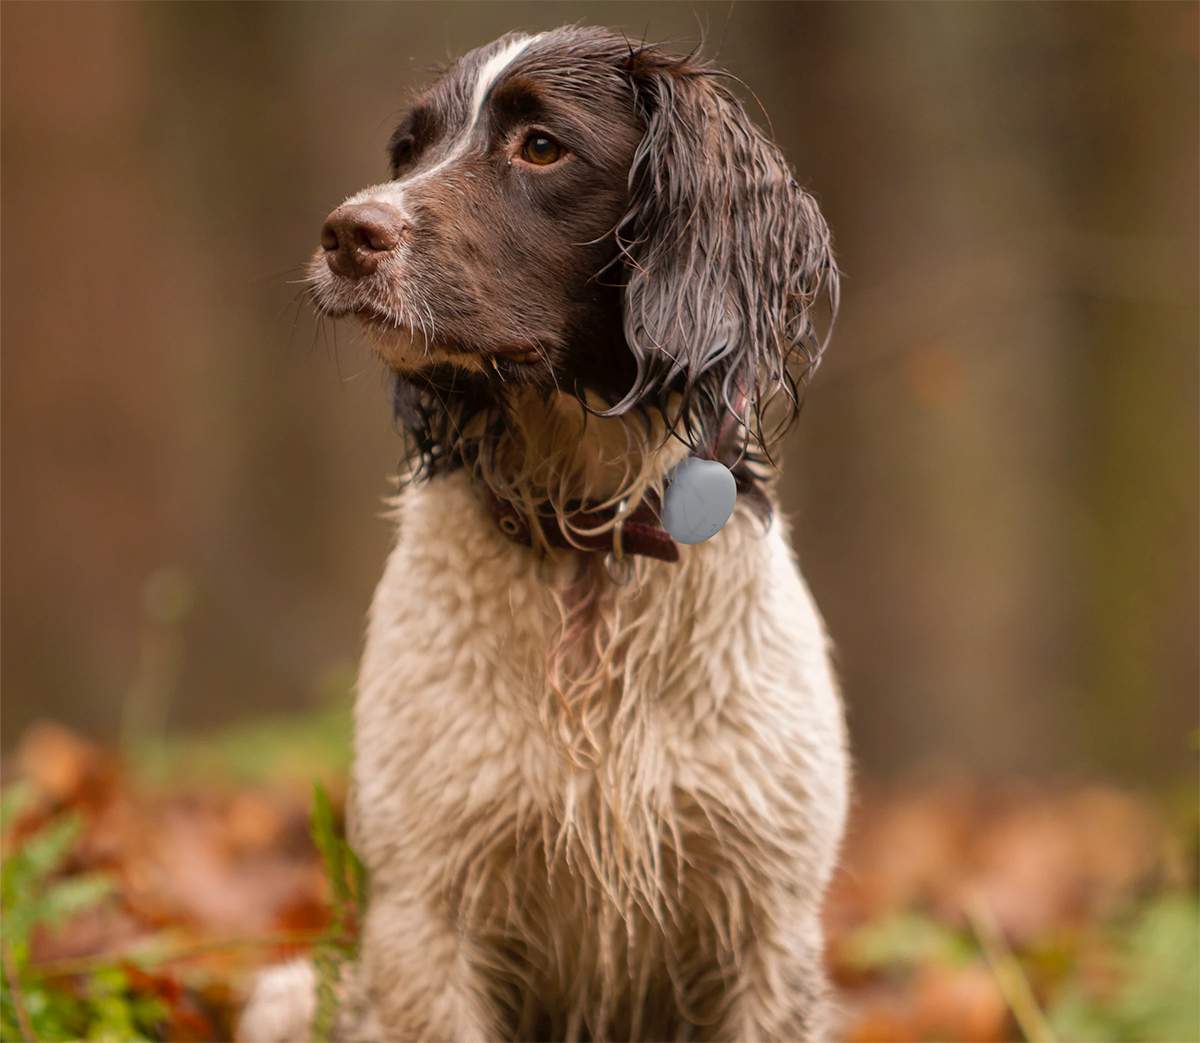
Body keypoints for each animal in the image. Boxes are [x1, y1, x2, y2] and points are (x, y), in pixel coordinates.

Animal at [238, 24, 849, 1041]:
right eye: (409, 149)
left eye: (541, 147)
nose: (345, 233)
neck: (588, 546)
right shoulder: (426, 910)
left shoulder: (767, 912)